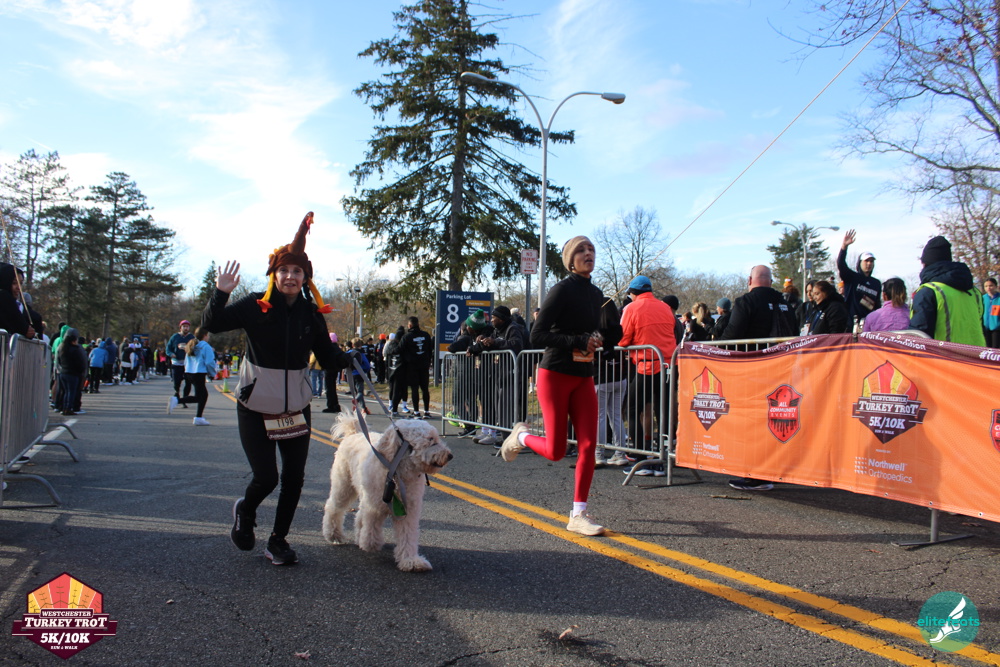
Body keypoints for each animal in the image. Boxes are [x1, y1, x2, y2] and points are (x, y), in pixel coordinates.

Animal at [322, 413, 453, 572]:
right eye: (430, 440)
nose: (450, 455)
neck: (397, 474)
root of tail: (354, 433)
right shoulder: (374, 505)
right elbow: (372, 525)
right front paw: (371, 543)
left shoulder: (408, 510)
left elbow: (407, 535)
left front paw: (411, 561)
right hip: (344, 485)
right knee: (334, 507)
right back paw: (334, 535)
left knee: (358, 514)